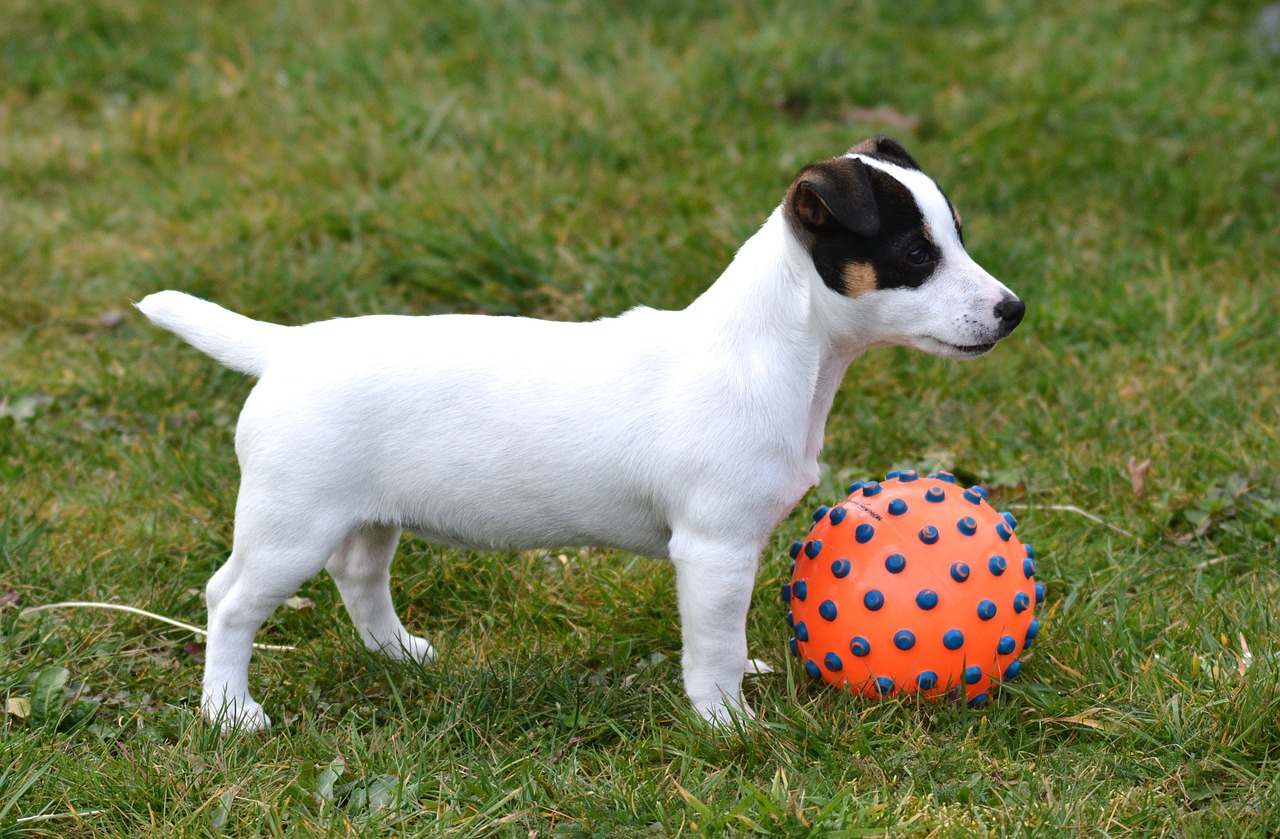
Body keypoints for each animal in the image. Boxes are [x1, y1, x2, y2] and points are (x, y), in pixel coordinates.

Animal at [137, 136, 1018, 727]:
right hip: (291, 522)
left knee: (354, 576)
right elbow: (711, 643)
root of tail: (287, 347)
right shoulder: (714, 548)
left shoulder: (734, 551)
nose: (1013, 310)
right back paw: (230, 711)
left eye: (958, 235)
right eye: (915, 253)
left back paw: (397, 652)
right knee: (231, 602)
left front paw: (743, 679)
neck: (777, 347)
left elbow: (728, 635)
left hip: (362, 513)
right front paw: (727, 721)